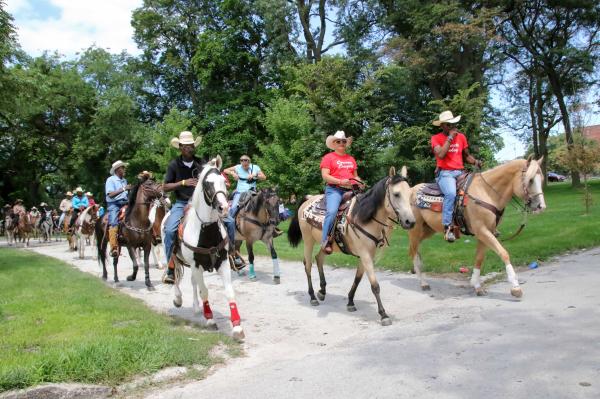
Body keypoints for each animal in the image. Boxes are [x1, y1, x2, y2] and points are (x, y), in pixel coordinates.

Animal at [161, 156, 245, 340]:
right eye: (207, 184)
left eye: (224, 182)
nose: (224, 208)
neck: (206, 230)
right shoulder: (196, 264)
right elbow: (205, 291)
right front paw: (210, 320)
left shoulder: (222, 262)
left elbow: (229, 292)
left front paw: (237, 327)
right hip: (174, 254)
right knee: (175, 275)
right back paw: (178, 298)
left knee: (193, 282)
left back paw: (196, 307)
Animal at [288, 167, 414, 326]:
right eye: (397, 194)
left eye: (410, 193)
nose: (410, 222)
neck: (363, 217)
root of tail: (308, 199)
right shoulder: (365, 254)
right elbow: (375, 285)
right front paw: (383, 315)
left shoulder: (367, 255)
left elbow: (358, 278)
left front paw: (350, 302)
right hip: (308, 240)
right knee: (308, 265)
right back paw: (312, 297)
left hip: (326, 244)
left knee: (319, 258)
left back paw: (322, 291)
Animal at [410, 158, 548, 298]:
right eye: (530, 180)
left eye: (541, 178)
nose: (541, 207)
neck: (486, 192)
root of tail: (411, 190)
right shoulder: (482, 231)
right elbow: (503, 253)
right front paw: (515, 287)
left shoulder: (486, 233)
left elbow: (479, 258)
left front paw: (476, 286)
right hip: (416, 229)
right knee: (414, 252)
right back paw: (423, 283)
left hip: (428, 229)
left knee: (414, 249)